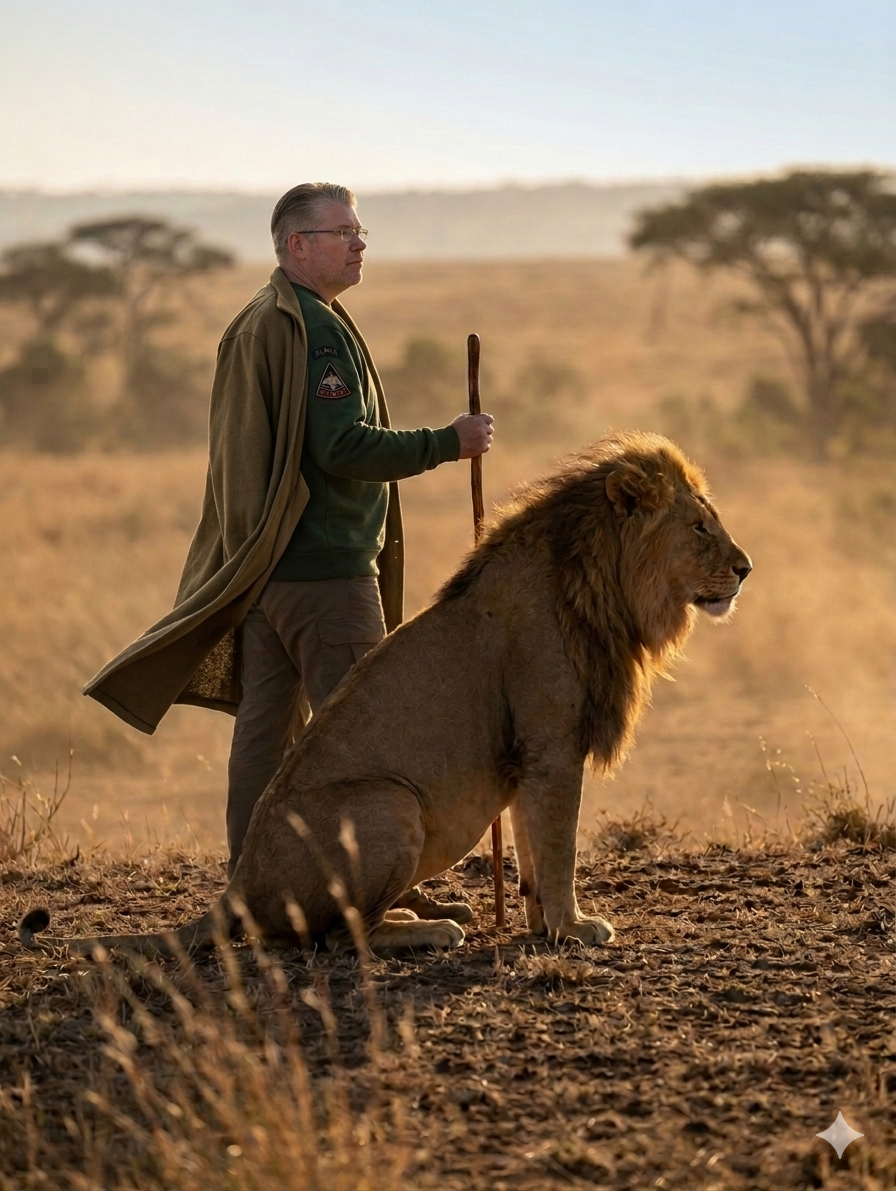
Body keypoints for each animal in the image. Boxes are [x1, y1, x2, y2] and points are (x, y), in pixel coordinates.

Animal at [20, 432, 751, 959]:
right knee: (339, 936)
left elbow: (531, 848)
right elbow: (559, 846)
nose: (746, 568)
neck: (600, 584)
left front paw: (543, 925)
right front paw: (576, 928)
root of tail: (235, 891)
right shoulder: (552, 743)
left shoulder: (530, 756)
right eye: (699, 527)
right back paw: (428, 928)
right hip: (391, 803)